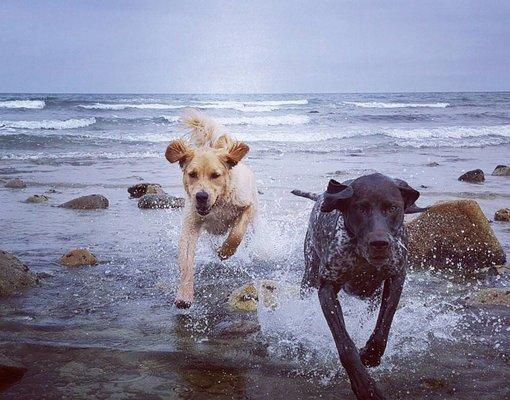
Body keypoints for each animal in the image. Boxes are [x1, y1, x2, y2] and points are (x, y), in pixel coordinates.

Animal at [165, 108, 256, 308]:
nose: (201, 196)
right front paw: (184, 295)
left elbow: (236, 234)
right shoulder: (191, 225)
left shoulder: (247, 206)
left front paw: (225, 252)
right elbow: (186, 260)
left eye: (216, 175)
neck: (218, 204)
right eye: (192, 174)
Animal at [292, 173, 424, 400]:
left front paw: (370, 355)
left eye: (392, 208)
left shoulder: (396, 277)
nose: (379, 243)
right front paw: (364, 386)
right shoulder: (327, 288)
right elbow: (345, 344)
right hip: (309, 276)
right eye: (361, 208)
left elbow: (383, 327)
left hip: (372, 295)